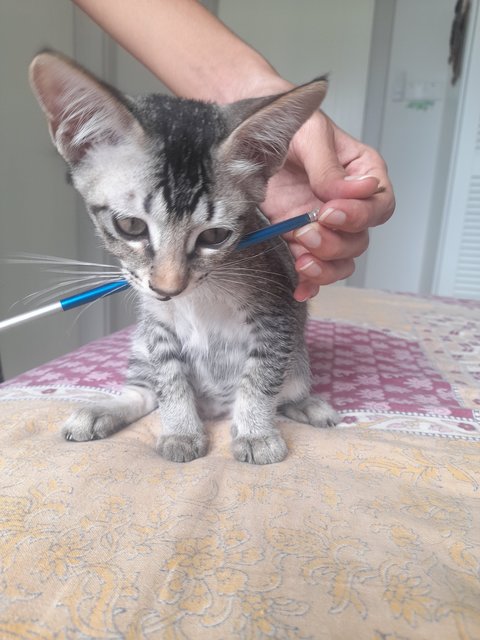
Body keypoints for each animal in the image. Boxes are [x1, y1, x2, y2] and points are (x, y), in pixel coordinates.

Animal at [30, 52, 340, 462]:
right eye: (131, 226)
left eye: (214, 236)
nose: (168, 288)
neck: (198, 296)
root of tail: (215, 408)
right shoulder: (156, 324)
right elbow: (169, 379)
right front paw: (181, 430)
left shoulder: (279, 312)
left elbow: (260, 377)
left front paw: (255, 433)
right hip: (140, 343)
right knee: (145, 391)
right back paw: (103, 410)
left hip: (298, 357)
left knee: (285, 389)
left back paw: (306, 405)